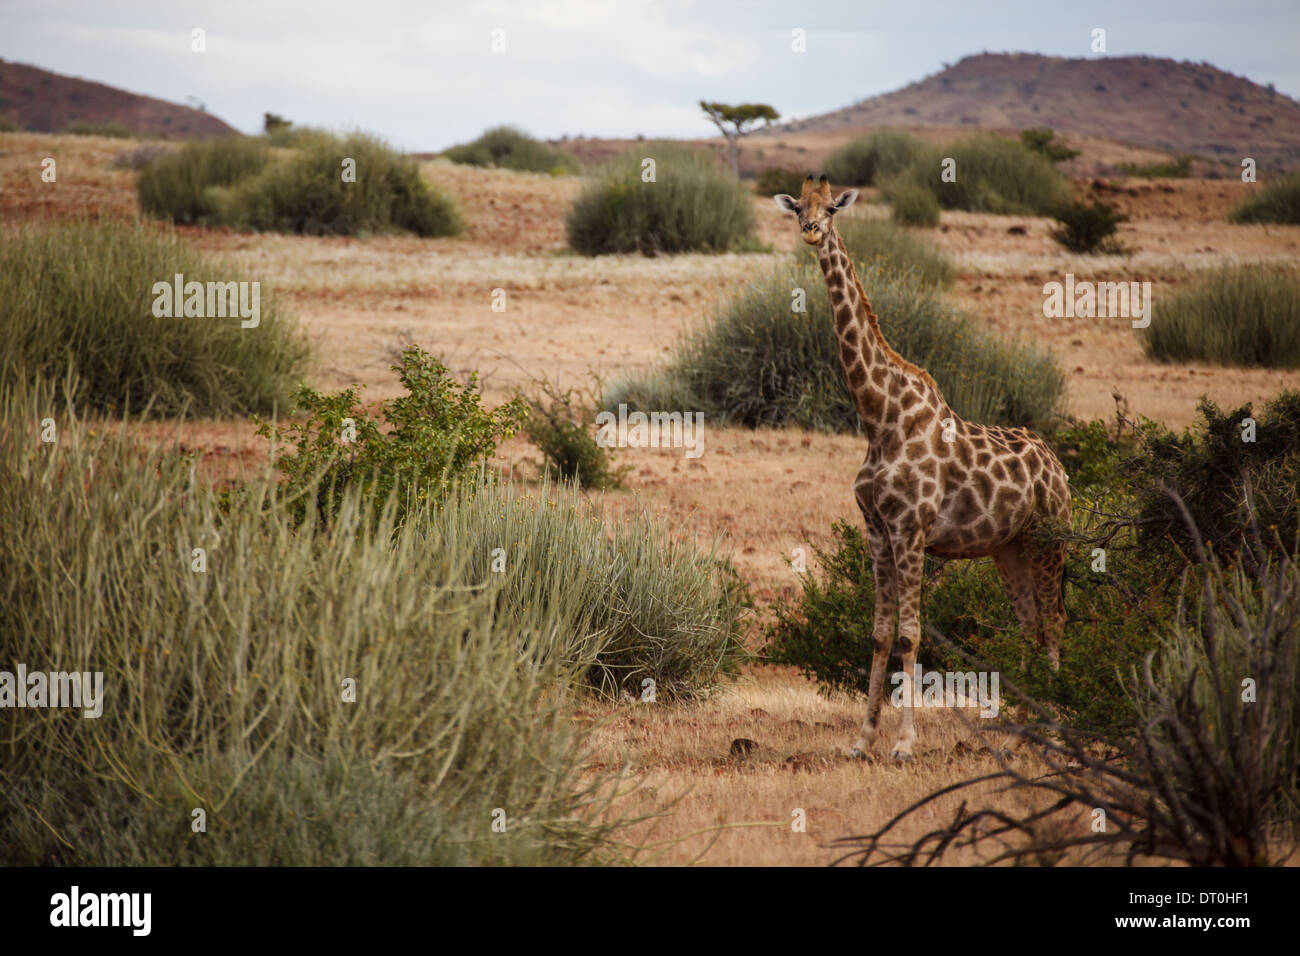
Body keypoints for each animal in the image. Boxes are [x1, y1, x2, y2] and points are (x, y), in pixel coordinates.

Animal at [774, 178, 1071, 764]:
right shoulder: (876, 530)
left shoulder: (910, 530)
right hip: (1010, 547)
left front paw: (905, 744)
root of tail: (1059, 468)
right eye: (797, 207)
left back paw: (1051, 733)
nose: (811, 232)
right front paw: (862, 740)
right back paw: (1022, 730)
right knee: (1028, 623)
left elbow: (912, 634)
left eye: (831, 208)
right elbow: (880, 633)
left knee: (1052, 623)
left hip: (1050, 539)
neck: (878, 417)